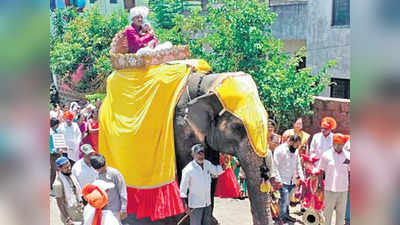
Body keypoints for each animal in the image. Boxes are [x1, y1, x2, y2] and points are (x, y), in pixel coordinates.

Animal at [123, 71, 270, 225]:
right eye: (238, 127)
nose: (265, 171)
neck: (208, 83)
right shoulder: (182, 128)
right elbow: (185, 169)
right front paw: (186, 219)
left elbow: (211, 171)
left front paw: (210, 220)